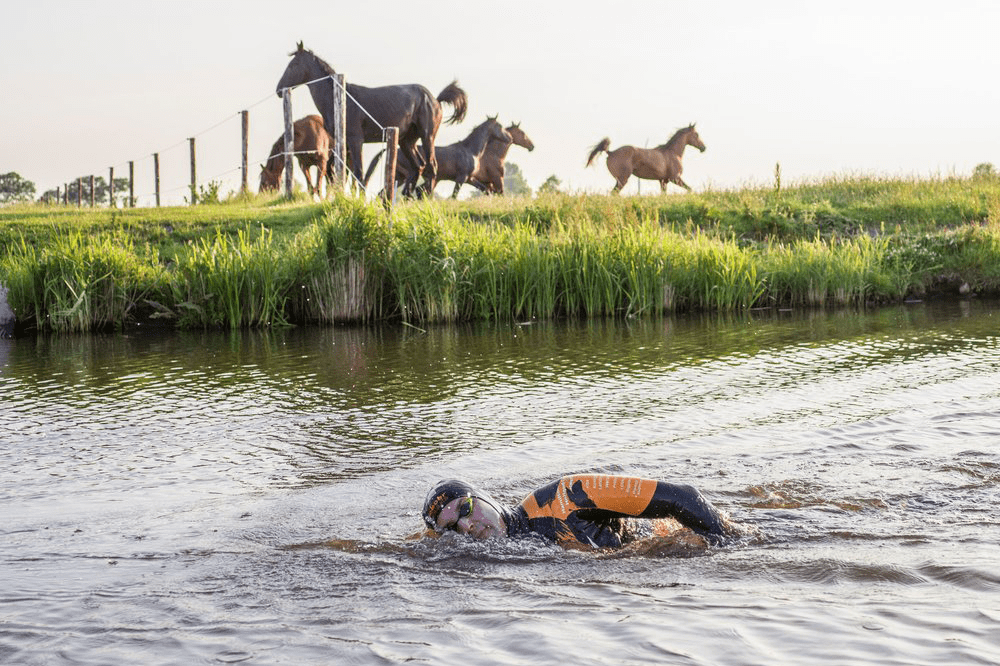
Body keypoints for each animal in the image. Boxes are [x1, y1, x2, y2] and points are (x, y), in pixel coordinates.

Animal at [276, 41, 470, 196]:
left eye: (293, 65)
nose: (278, 89)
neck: (341, 99)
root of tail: (435, 99)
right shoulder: (343, 143)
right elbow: (337, 170)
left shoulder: (356, 140)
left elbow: (358, 172)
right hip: (407, 141)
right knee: (418, 166)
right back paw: (408, 196)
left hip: (427, 136)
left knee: (431, 166)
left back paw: (425, 197)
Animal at [366, 115, 512, 197]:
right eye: (500, 126)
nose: (509, 138)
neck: (470, 150)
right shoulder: (461, 178)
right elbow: (454, 195)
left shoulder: (469, 178)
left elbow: (485, 189)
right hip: (407, 175)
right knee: (405, 191)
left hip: (399, 177)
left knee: (383, 193)